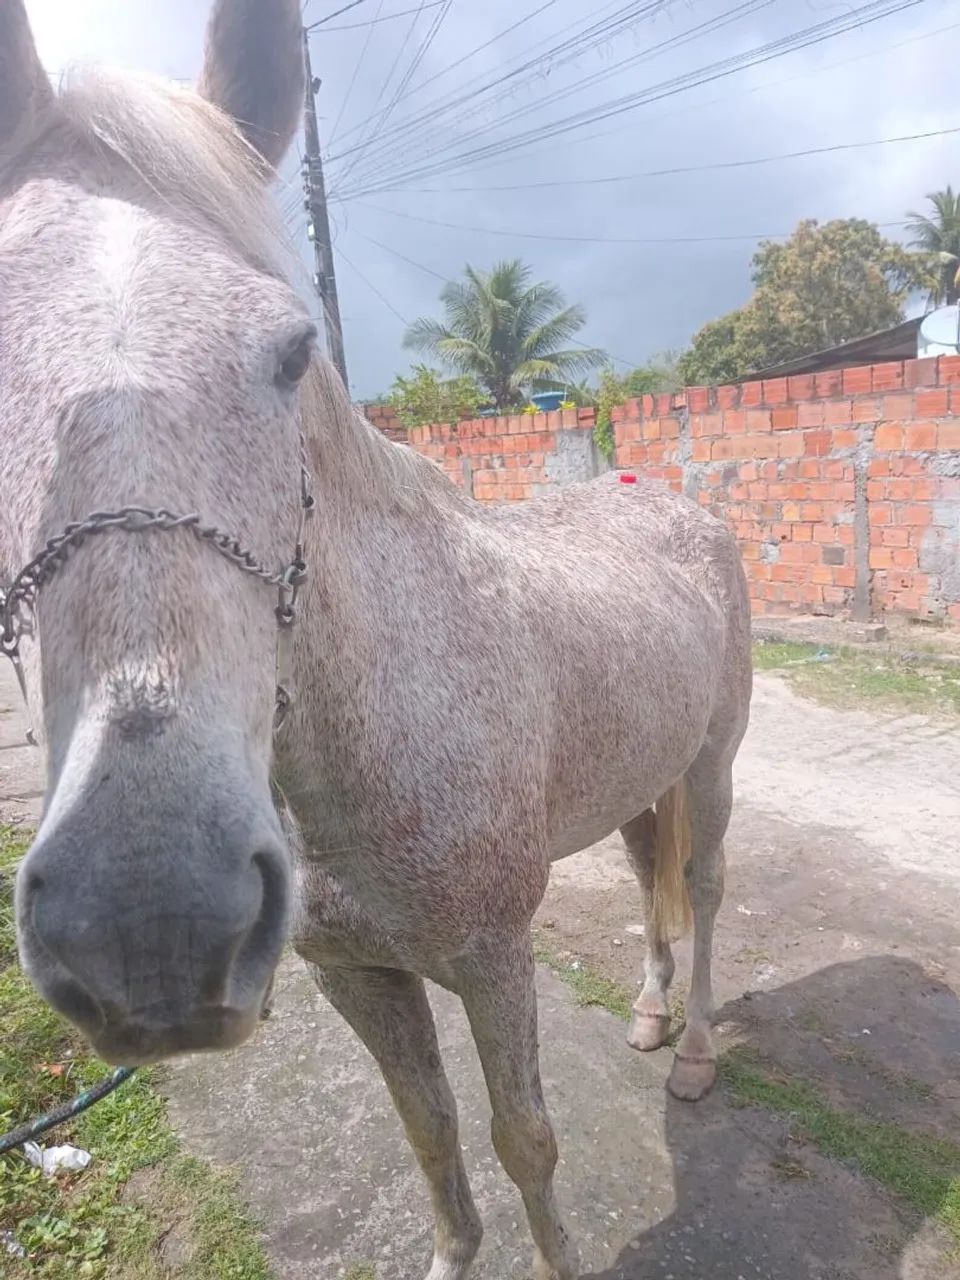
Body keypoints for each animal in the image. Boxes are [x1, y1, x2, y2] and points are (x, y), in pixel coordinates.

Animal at [0, 3, 751, 1277]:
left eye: (293, 350)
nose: (146, 920)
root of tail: (670, 502)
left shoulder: (494, 959)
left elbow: (526, 1140)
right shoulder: (358, 975)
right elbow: (430, 1133)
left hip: (711, 764)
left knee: (697, 892)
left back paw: (694, 1049)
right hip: (638, 777)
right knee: (650, 878)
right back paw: (651, 1015)